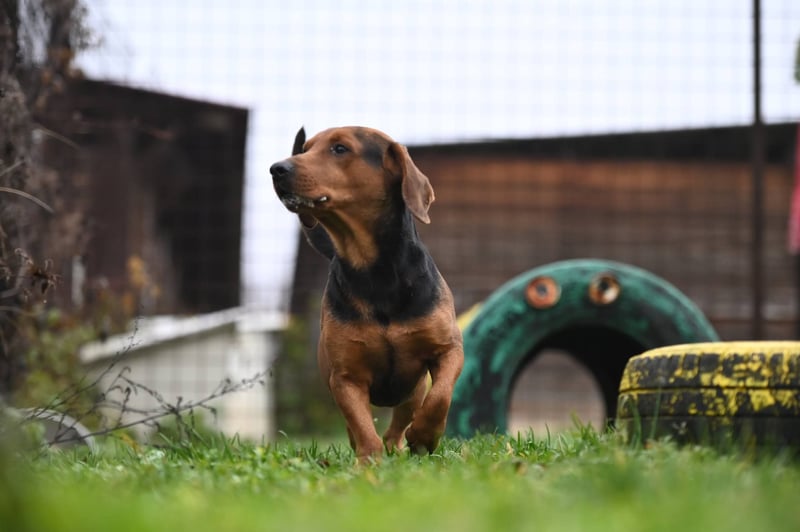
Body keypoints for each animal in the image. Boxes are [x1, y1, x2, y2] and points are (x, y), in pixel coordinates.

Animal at [270, 126, 464, 461]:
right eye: (305, 149)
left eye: (339, 148)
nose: (277, 169)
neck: (374, 270)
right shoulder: (345, 377)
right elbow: (361, 427)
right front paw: (370, 463)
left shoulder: (448, 349)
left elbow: (440, 396)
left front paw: (424, 436)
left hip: (411, 391)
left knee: (400, 421)